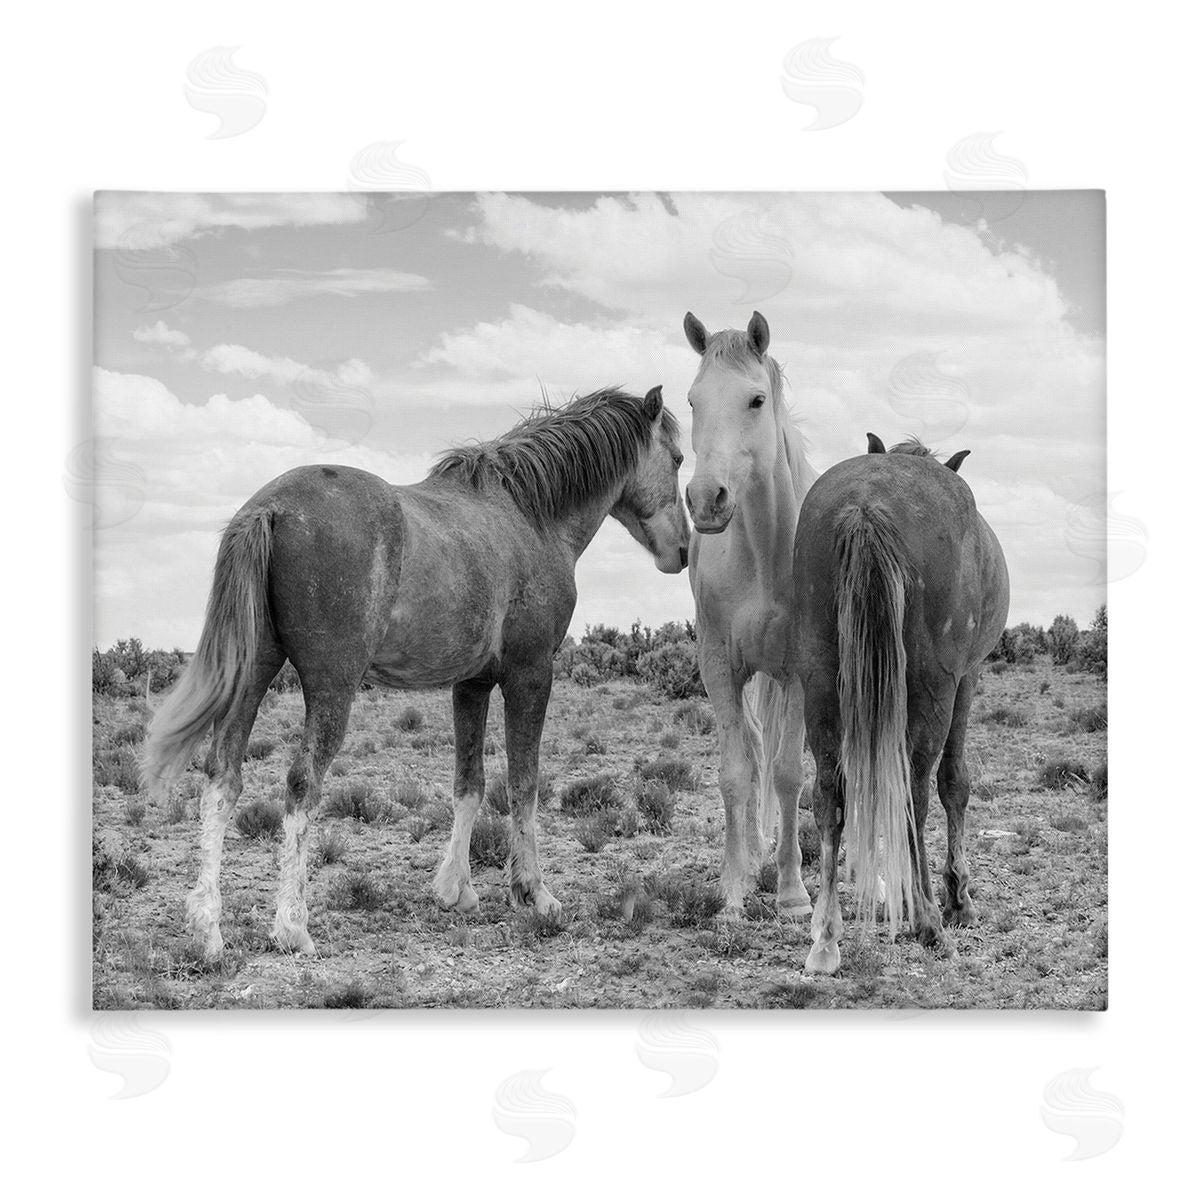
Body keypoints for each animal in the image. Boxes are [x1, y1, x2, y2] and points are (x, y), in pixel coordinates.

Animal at [142, 385, 690, 959]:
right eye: (677, 458)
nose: (682, 550)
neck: (530, 517)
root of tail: (269, 508)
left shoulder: (472, 684)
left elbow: (469, 783)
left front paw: (456, 889)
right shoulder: (531, 673)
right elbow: (524, 783)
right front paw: (533, 893)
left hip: (253, 676)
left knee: (223, 777)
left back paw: (208, 928)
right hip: (332, 688)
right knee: (300, 784)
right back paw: (292, 925)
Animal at [793, 437, 1009, 973]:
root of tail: (867, 505)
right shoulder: (967, 677)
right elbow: (955, 783)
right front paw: (959, 900)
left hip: (820, 680)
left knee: (828, 794)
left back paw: (825, 937)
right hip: (934, 686)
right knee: (916, 790)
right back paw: (929, 920)